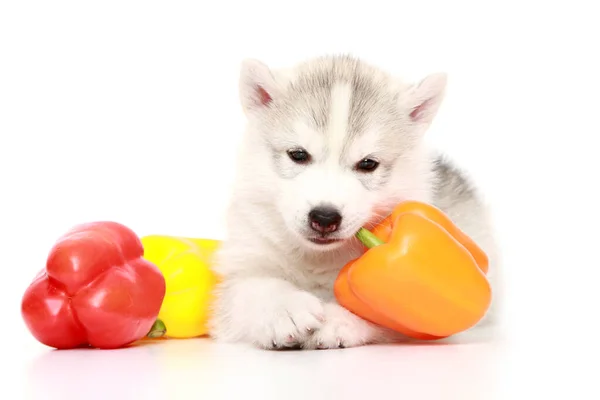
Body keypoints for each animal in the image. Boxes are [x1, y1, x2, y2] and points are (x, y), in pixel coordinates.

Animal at [209, 54, 500, 348]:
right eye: (298, 154)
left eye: (368, 164)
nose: (324, 217)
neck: (318, 258)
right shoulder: (242, 263)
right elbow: (251, 287)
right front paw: (284, 308)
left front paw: (339, 319)